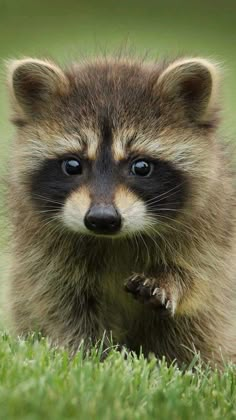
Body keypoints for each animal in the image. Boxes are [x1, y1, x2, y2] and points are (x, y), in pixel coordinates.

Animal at [4, 55, 236, 364]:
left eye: (141, 167)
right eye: (72, 165)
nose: (102, 219)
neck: (115, 240)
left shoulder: (211, 227)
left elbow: (199, 276)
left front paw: (170, 281)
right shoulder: (43, 251)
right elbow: (62, 304)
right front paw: (87, 355)